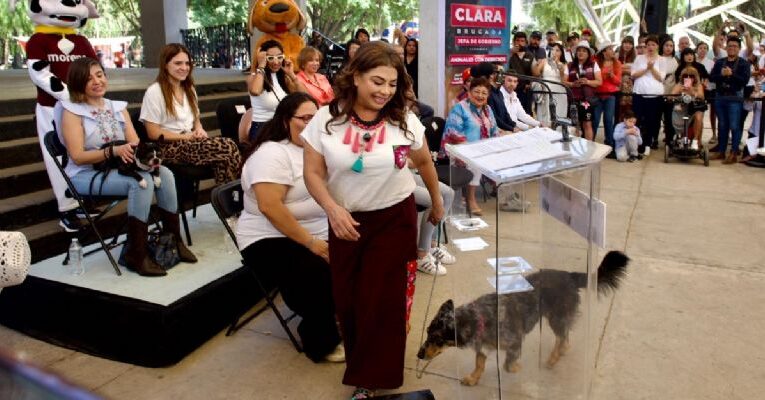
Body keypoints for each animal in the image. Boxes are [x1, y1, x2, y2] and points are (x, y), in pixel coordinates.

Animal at [418, 252, 628, 386]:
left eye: (436, 338)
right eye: (427, 333)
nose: (419, 355)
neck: (479, 318)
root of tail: (569, 276)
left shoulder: (514, 342)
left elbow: (507, 365)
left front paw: (517, 367)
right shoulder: (482, 348)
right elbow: (479, 364)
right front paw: (473, 378)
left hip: (556, 317)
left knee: (561, 336)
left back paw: (553, 358)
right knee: (565, 336)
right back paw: (561, 352)